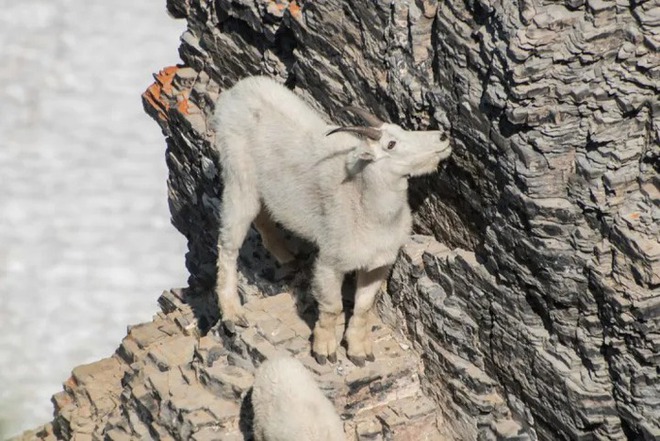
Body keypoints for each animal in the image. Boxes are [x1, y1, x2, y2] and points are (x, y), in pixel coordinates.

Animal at [214, 75, 452, 364]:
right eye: (391, 144)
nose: (442, 136)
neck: (368, 209)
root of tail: (235, 92)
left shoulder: (378, 265)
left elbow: (363, 308)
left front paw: (360, 352)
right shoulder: (330, 263)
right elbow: (332, 307)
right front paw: (324, 350)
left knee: (262, 218)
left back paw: (287, 256)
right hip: (238, 177)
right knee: (228, 245)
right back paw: (233, 313)